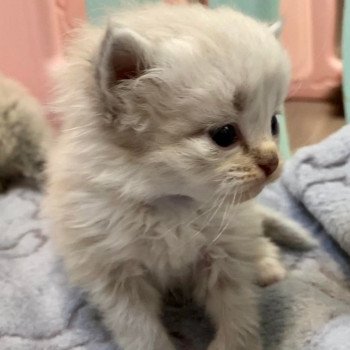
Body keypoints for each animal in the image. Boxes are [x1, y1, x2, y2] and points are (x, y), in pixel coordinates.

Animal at [45, 3, 314, 350]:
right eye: (224, 135)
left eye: (273, 124)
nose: (272, 162)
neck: (173, 204)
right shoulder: (116, 275)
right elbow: (140, 330)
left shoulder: (226, 253)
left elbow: (237, 310)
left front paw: (236, 342)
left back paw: (266, 263)